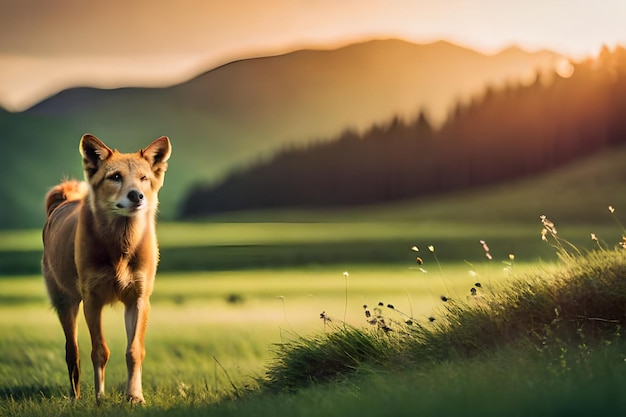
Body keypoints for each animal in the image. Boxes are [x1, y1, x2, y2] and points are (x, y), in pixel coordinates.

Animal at [41, 134, 171, 404]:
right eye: (115, 177)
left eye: (144, 178)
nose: (136, 196)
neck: (121, 248)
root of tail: (64, 201)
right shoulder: (92, 299)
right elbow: (99, 350)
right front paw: (100, 396)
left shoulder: (138, 299)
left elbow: (134, 351)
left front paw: (134, 396)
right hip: (65, 303)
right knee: (72, 352)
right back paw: (76, 398)